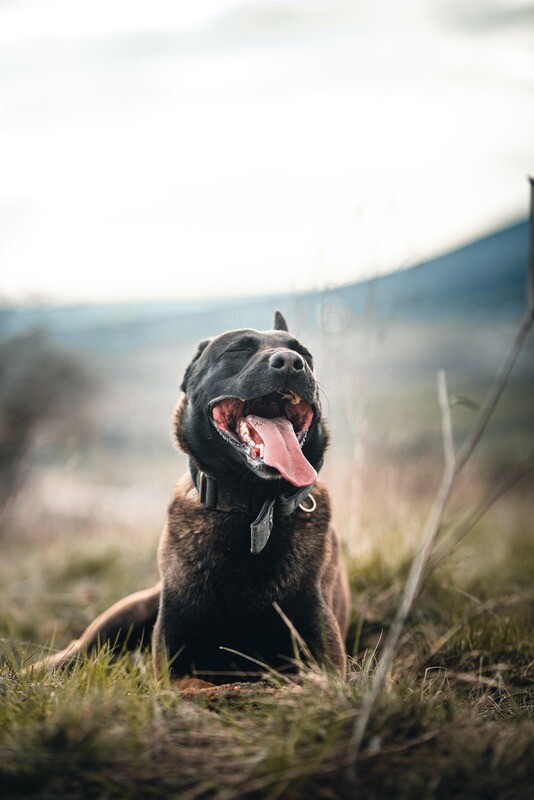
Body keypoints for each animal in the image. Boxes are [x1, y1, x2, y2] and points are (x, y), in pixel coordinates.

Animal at [32, 312, 352, 688]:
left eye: (304, 354)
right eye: (238, 349)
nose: (291, 363)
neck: (252, 508)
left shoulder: (324, 665)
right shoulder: (173, 667)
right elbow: (199, 686)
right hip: (124, 615)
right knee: (74, 651)